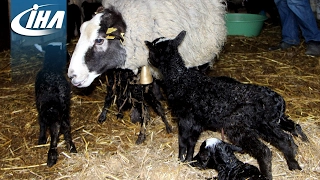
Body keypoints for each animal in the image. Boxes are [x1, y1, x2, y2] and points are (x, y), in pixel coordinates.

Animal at [145, 30, 308, 179]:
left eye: (152, 51)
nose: (148, 59)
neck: (180, 79)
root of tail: (278, 101)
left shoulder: (185, 117)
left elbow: (183, 141)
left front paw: (180, 160)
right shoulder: (197, 121)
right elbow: (191, 142)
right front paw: (189, 161)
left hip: (238, 125)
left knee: (264, 150)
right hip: (266, 124)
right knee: (285, 140)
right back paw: (293, 165)